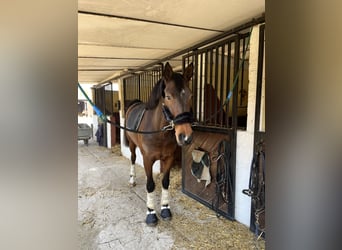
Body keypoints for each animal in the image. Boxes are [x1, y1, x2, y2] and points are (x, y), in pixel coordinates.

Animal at [124, 62, 194, 227]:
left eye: (190, 95)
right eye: (168, 97)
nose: (185, 137)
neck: (158, 131)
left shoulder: (168, 159)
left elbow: (165, 182)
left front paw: (165, 209)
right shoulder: (148, 159)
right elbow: (150, 185)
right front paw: (151, 213)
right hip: (132, 145)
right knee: (132, 159)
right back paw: (132, 179)